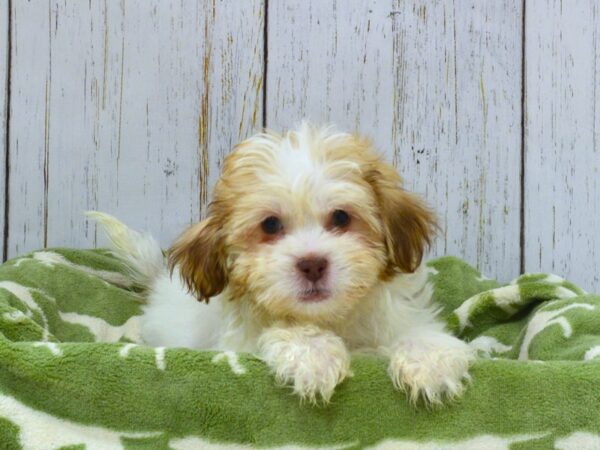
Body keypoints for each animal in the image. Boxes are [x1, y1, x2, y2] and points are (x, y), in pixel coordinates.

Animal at [90, 122, 474, 404]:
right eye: (270, 225)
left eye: (341, 217)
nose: (312, 264)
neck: (332, 319)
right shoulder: (236, 343)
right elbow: (287, 330)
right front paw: (314, 354)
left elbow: (416, 329)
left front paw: (430, 360)